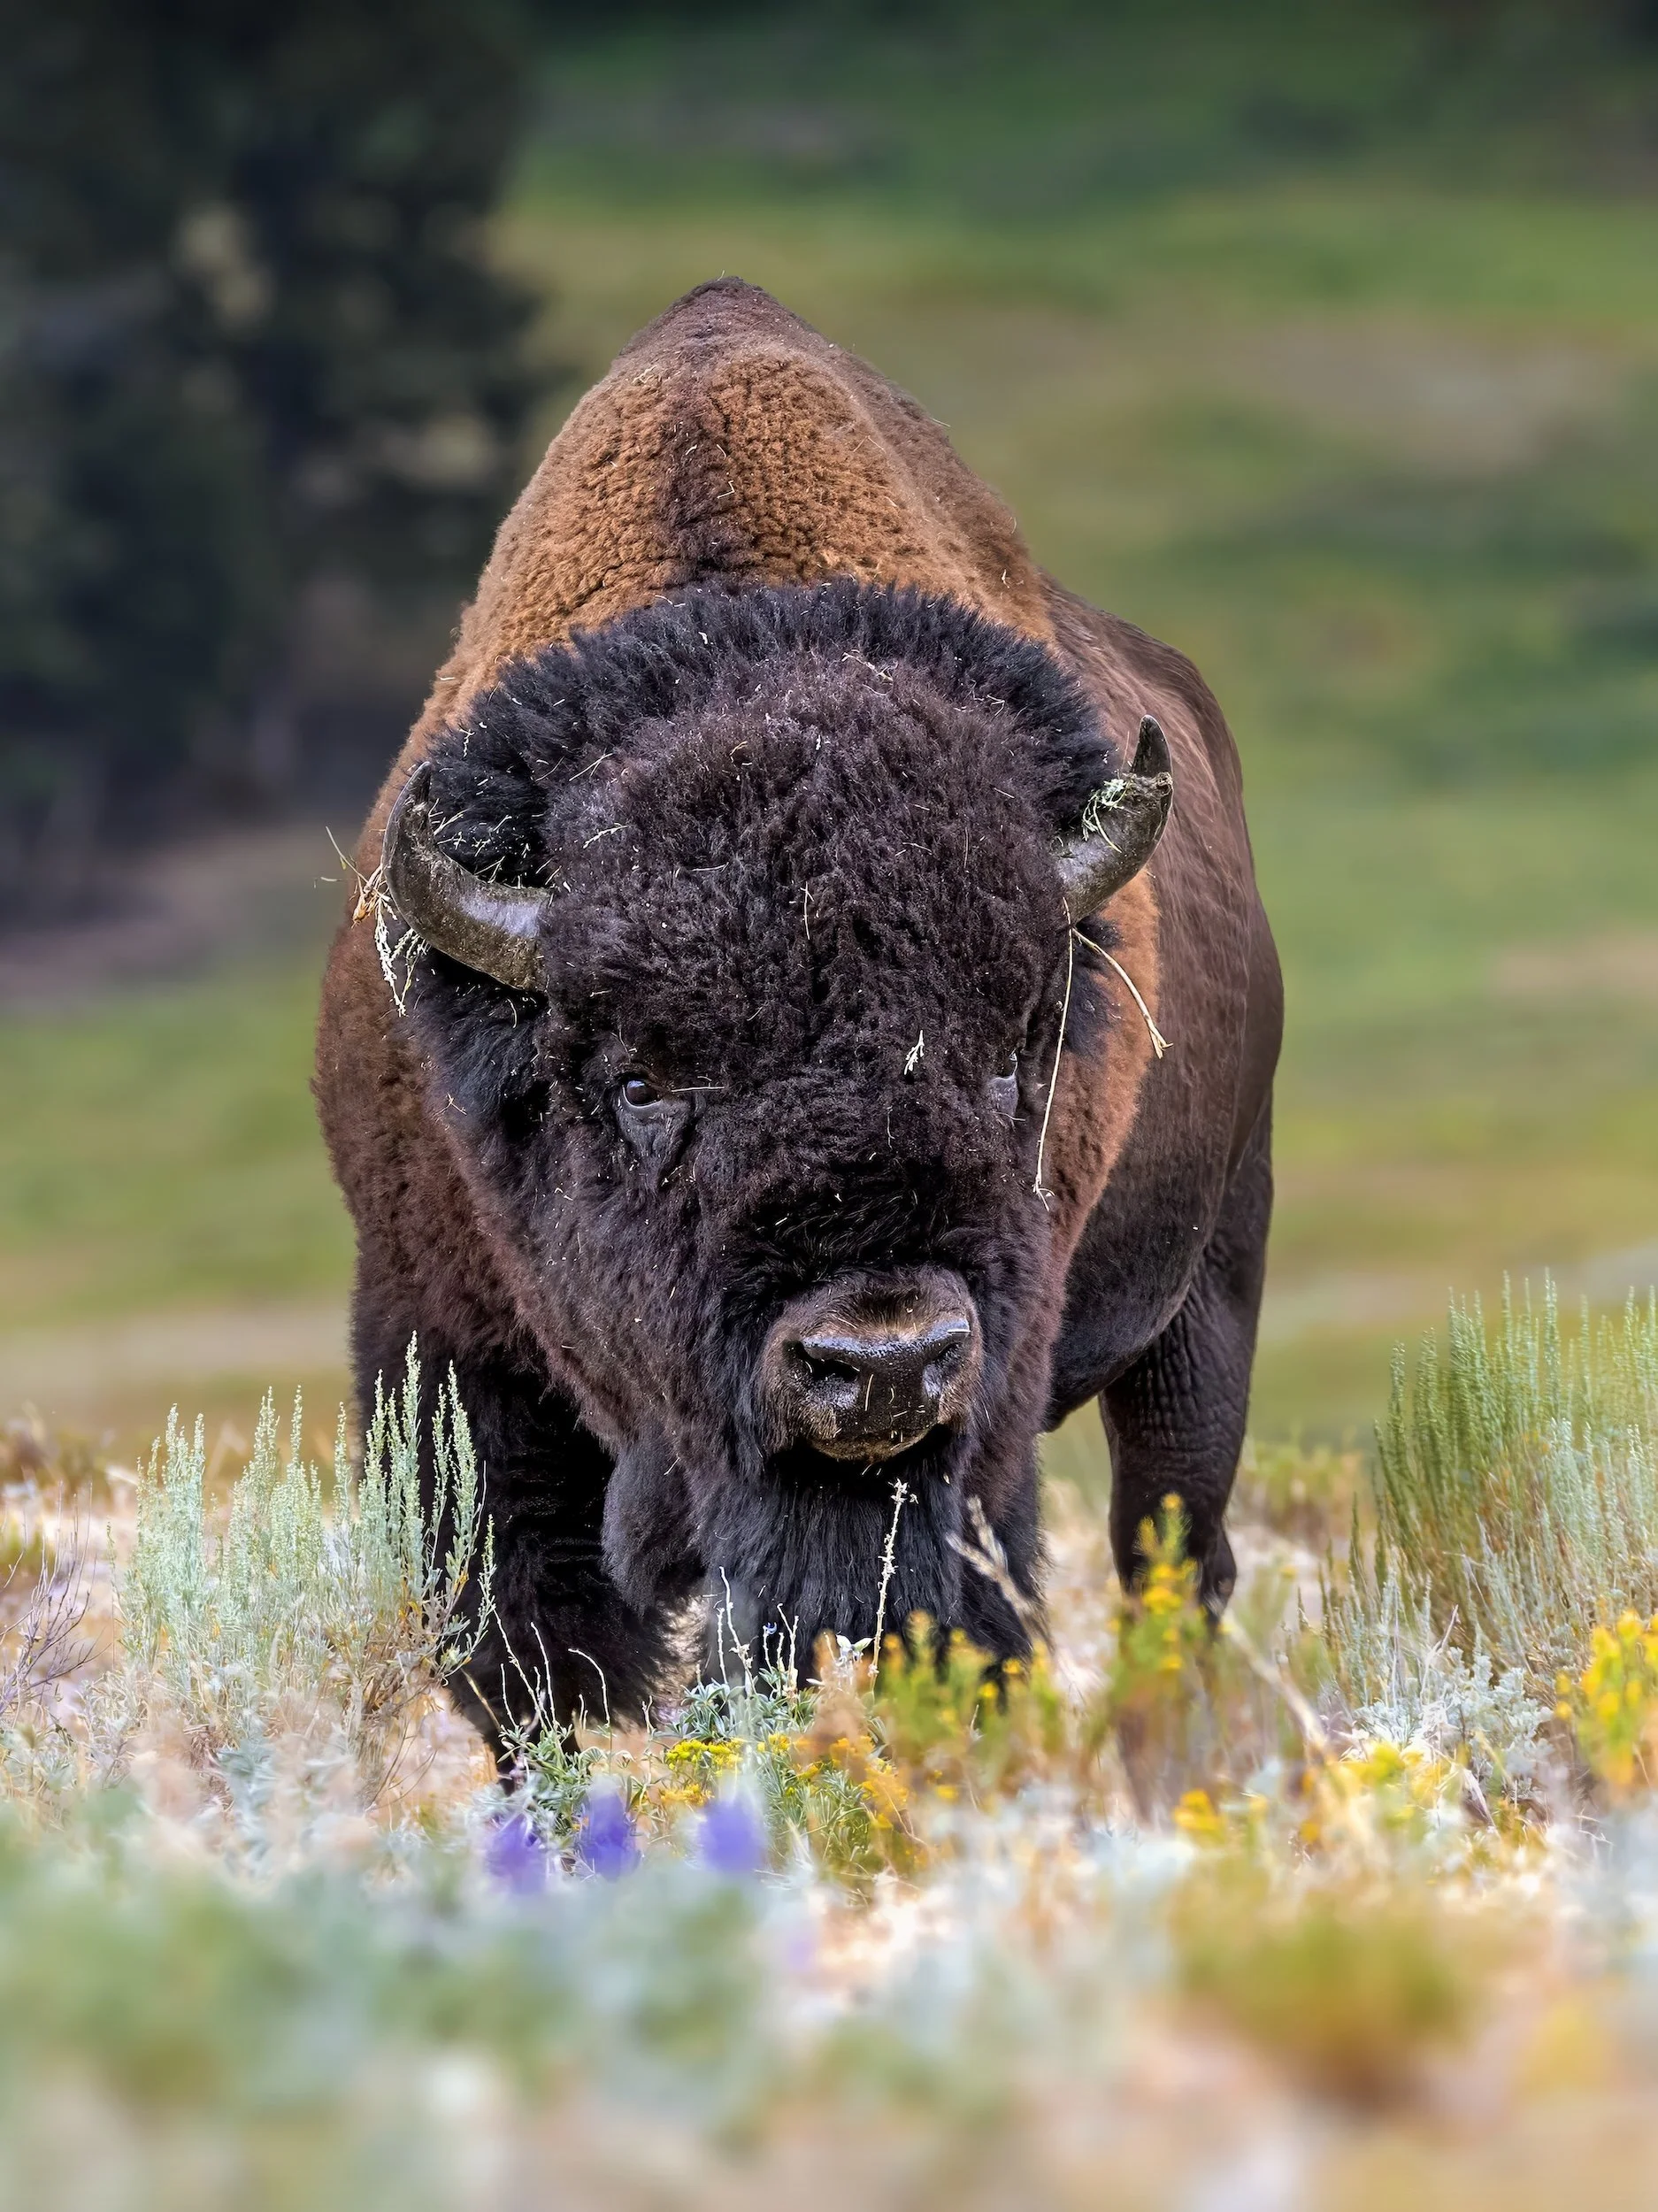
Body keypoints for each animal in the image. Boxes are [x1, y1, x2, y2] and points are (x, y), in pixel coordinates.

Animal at [316, 279, 1281, 1740]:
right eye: (640, 1083)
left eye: (1013, 1057)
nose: (879, 1359)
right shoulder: (446, 1363)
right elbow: (542, 1665)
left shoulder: (989, 1408)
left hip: (1205, 1293)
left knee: (1174, 1559)